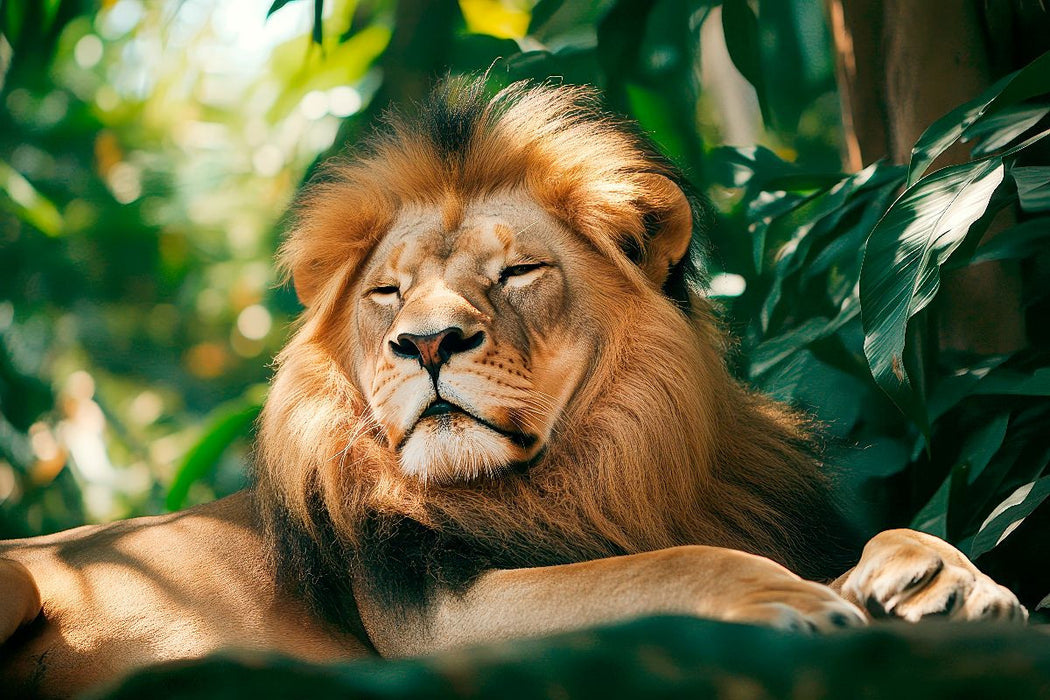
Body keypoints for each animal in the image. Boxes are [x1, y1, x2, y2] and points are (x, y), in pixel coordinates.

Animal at [0, 78, 1025, 698]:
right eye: (387, 293)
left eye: (520, 272)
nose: (427, 343)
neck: (611, 467)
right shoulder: (438, 619)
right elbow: (655, 567)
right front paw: (792, 598)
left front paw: (938, 574)